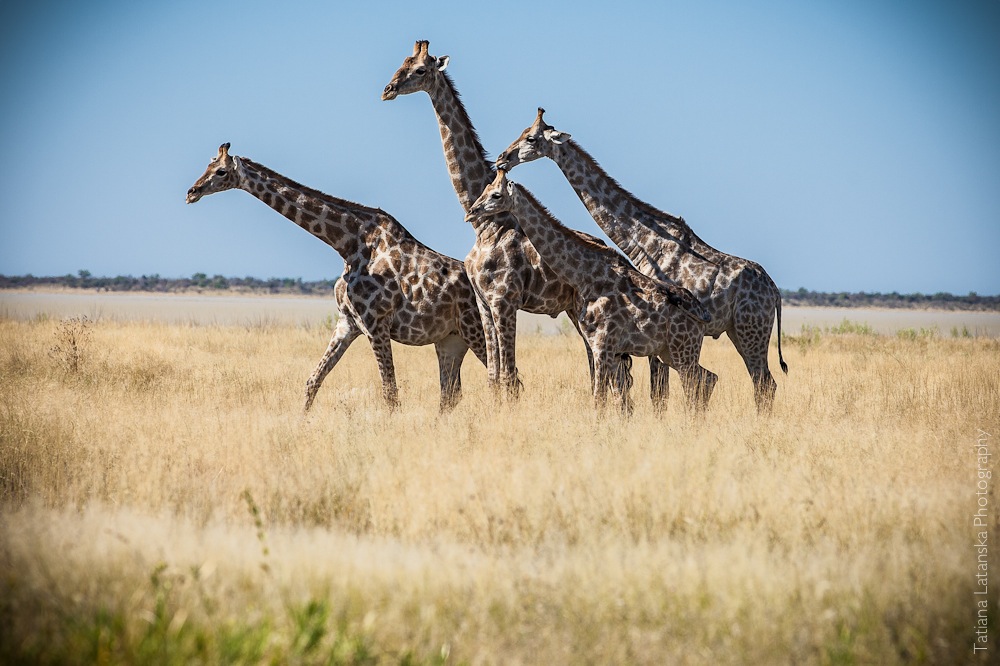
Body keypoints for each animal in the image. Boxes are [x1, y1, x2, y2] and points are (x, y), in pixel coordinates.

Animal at [188, 141, 488, 410]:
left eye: (221, 172)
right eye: (207, 165)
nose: (192, 192)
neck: (349, 245)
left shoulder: (376, 324)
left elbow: (390, 393)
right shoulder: (347, 323)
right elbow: (313, 381)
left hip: (475, 329)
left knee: (496, 378)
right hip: (450, 339)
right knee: (451, 394)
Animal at [386, 41, 596, 400]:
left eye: (420, 70)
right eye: (401, 63)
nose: (387, 90)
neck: (483, 225)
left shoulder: (504, 300)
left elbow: (509, 377)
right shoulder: (484, 303)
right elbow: (494, 377)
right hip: (572, 308)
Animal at [464, 169, 716, 412]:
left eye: (496, 195)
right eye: (485, 190)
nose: (471, 212)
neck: (584, 275)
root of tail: (703, 315)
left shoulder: (603, 345)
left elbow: (600, 398)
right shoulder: (606, 348)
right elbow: (610, 397)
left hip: (682, 350)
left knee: (695, 384)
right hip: (669, 352)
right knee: (707, 378)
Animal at [500, 109, 788, 410]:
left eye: (531, 138)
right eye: (522, 132)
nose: (502, 158)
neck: (643, 239)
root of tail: (775, 293)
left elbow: (658, 392)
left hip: (750, 330)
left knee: (763, 383)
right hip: (737, 331)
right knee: (762, 382)